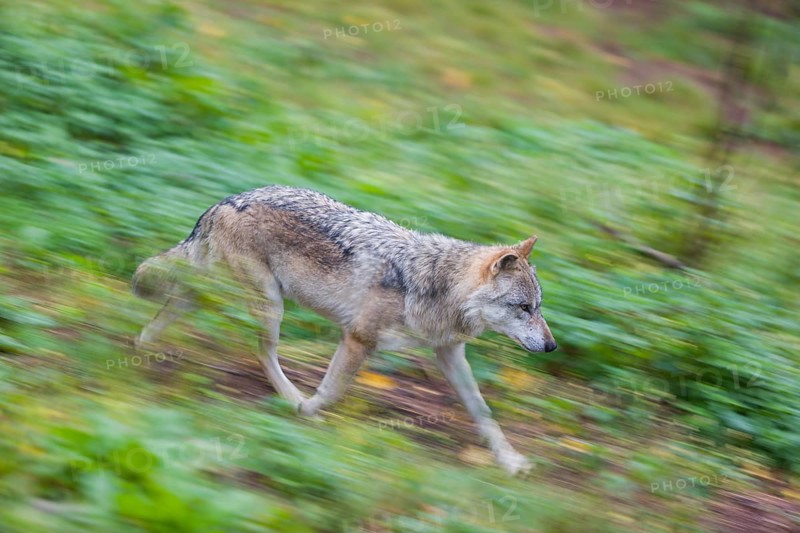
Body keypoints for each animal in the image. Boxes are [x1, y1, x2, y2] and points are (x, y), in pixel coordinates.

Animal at [133, 185, 557, 474]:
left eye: (538, 307)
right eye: (524, 308)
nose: (552, 346)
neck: (436, 286)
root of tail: (224, 202)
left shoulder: (449, 355)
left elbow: (484, 413)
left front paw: (510, 461)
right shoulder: (358, 339)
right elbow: (332, 391)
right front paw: (307, 410)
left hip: (215, 291)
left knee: (170, 309)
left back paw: (140, 352)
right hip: (271, 306)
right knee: (262, 351)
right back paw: (290, 398)